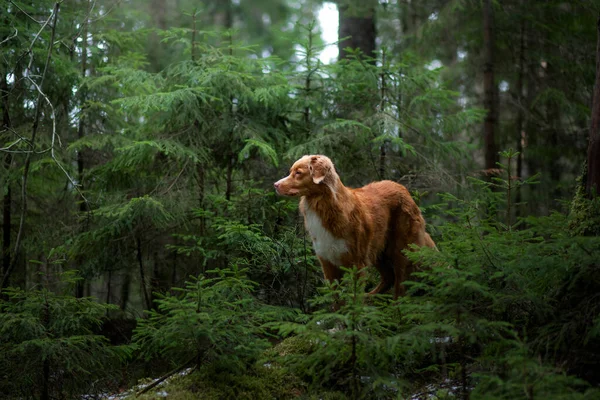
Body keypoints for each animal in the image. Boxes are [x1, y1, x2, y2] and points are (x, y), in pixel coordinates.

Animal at [274, 155, 436, 298]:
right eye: (291, 171)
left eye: (298, 173)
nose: (275, 185)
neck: (326, 206)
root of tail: (404, 189)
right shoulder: (328, 262)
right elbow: (336, 301)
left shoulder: (356, 263)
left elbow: (354, 299)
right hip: (378, 250)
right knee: (389, 277)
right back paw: (371, 298)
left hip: (400, 251)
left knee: (400, 286)